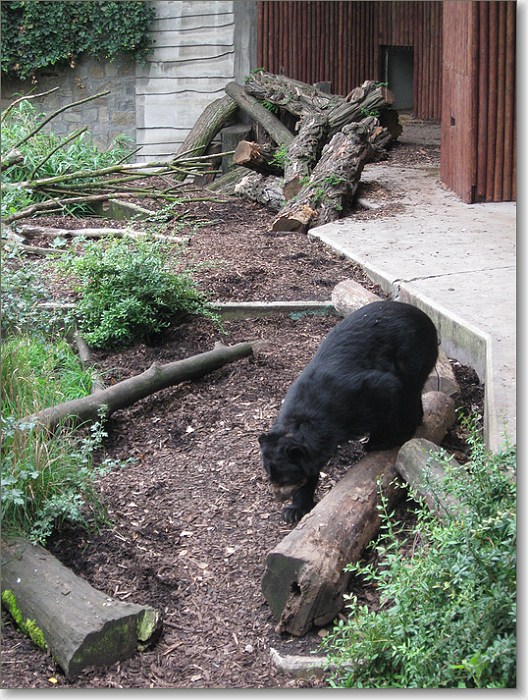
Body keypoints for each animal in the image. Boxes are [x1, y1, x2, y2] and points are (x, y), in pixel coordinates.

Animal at [259, 300, 439, 524]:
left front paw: (378, 442)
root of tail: (425, 317)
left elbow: (386, 393)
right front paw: (294, 510)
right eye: (270, 477)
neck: (301, 422)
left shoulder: (361, 395)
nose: (278, 497)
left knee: (409, 391)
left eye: (284, 479)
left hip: (412, 354)